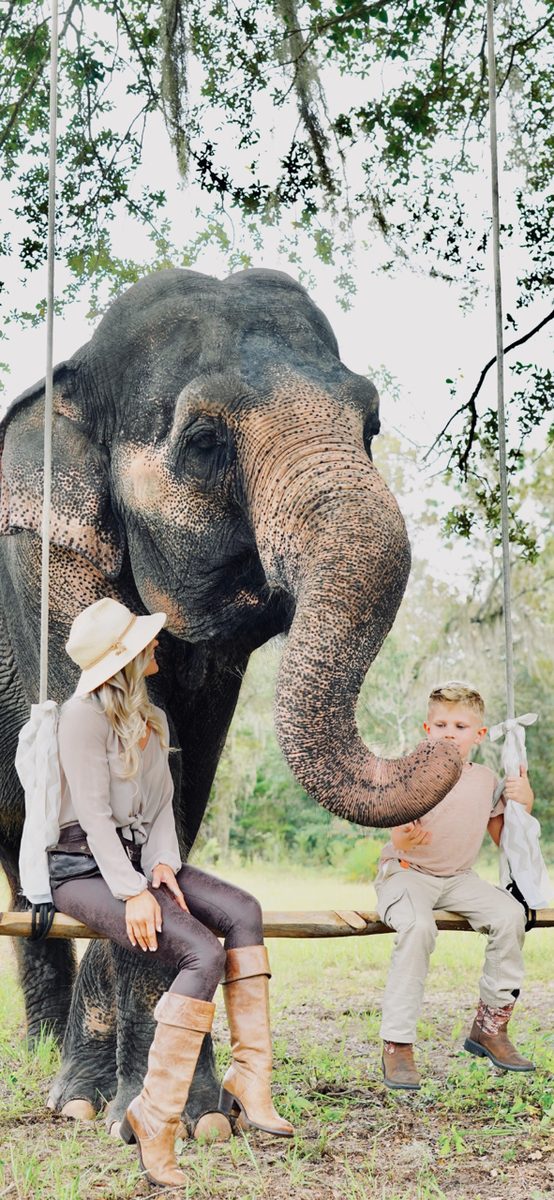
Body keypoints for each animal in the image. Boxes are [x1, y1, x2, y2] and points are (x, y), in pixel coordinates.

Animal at [0, 267, 461, 1131]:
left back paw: (46, 1063)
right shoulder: (40, 562)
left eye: (372, 425)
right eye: (206, 441)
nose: (448, 731)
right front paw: (159, 1118)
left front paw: (156, 1110)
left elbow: (180, 781)